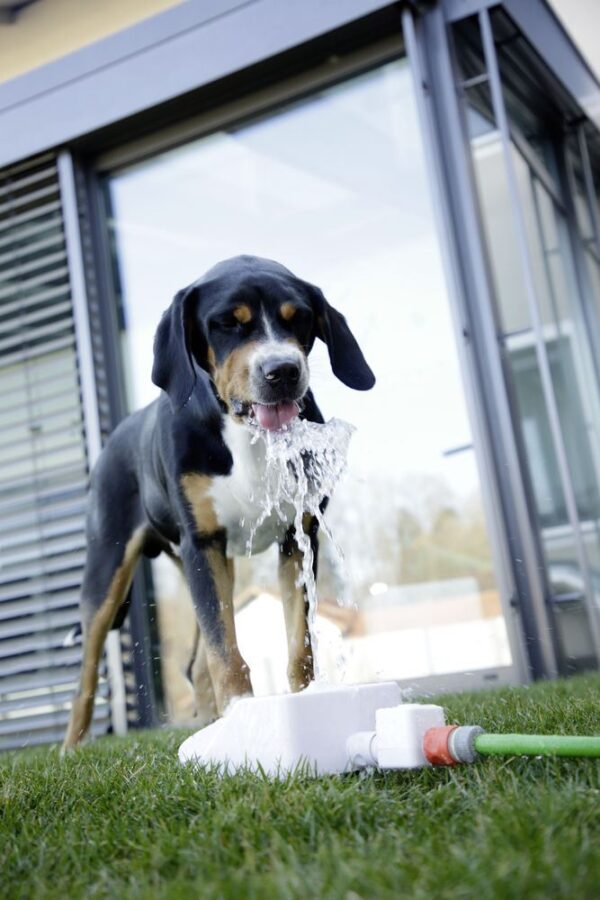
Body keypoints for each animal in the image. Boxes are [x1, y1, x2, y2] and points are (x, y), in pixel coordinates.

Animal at [64, 255, 376, 752]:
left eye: (299, 318)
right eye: (228, 323)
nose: (282, 371)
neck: (247, 434)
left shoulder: (297, 536)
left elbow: (298, 643)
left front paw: (302, 703)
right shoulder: (204, 544)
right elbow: (224, 650)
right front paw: (243, 716)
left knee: (193, 665)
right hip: (107, 570)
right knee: (87, 677)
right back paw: (70, 749)